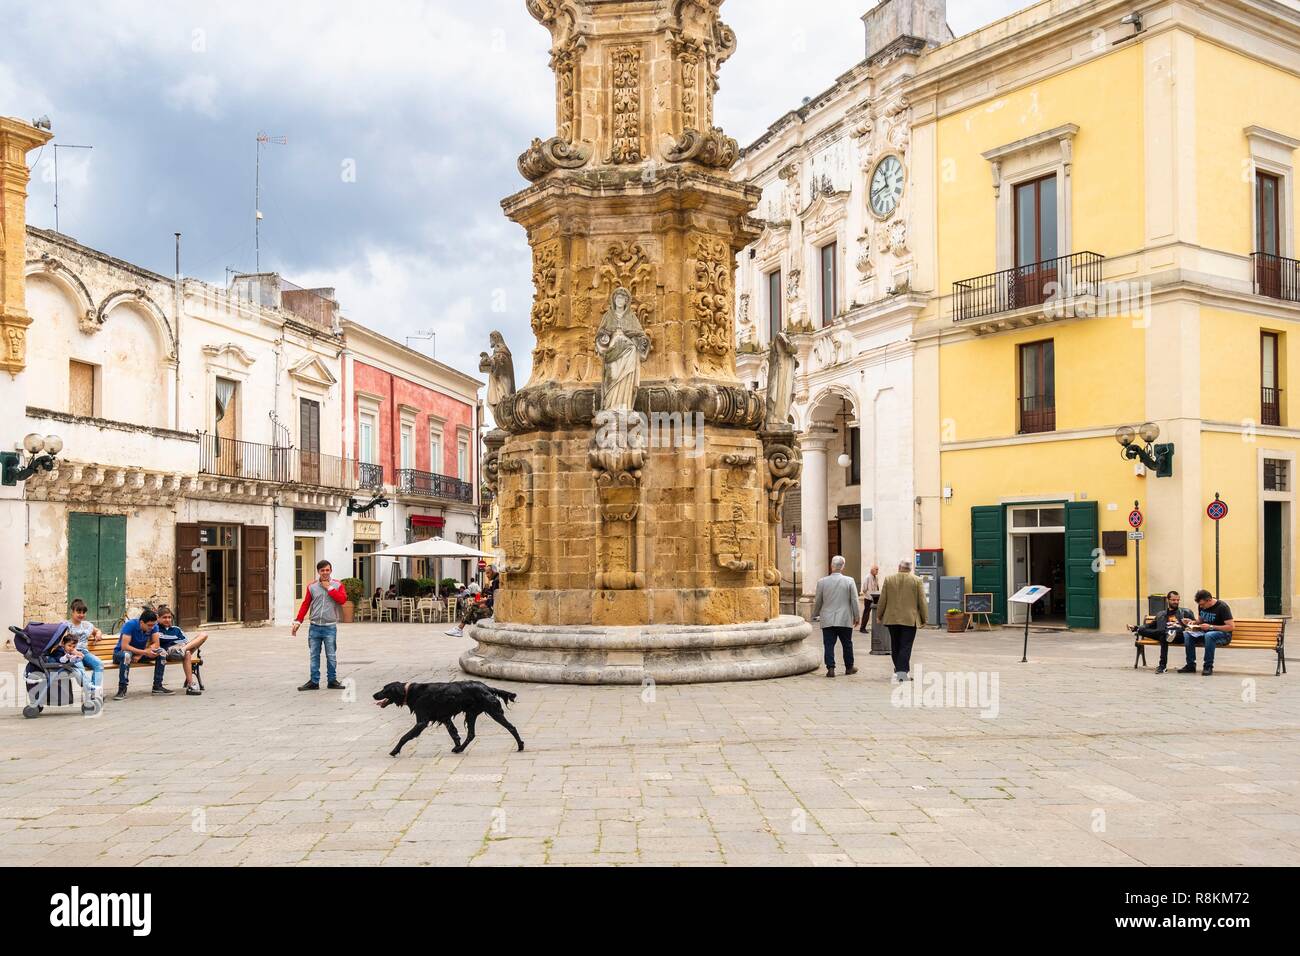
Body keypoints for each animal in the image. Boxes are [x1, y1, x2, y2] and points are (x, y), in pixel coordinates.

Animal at [371, 681, 522, 754]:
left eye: (385, 690)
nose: (373, 695)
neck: (411, 692)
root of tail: (487, 688)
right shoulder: (444, 718)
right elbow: (454, 734)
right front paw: (457, 746)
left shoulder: (421, 722)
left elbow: (404, 736)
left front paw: (394, 751)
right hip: (471, 714)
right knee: (471, 734)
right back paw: (460, 749)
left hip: (493, 712)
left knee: (512, 727)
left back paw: (520, 746)